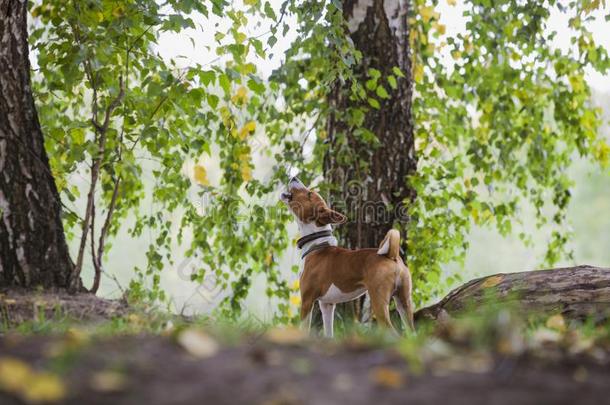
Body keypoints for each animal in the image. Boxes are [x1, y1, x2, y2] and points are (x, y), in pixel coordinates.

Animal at [280, 175, 414, 336]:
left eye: (309, 194)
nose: (294, 177)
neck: (317, 244)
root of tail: (391, 255)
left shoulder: (307, 300)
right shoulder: (327, 305)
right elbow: (329, 334)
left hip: (379, 302)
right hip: (404, 303)